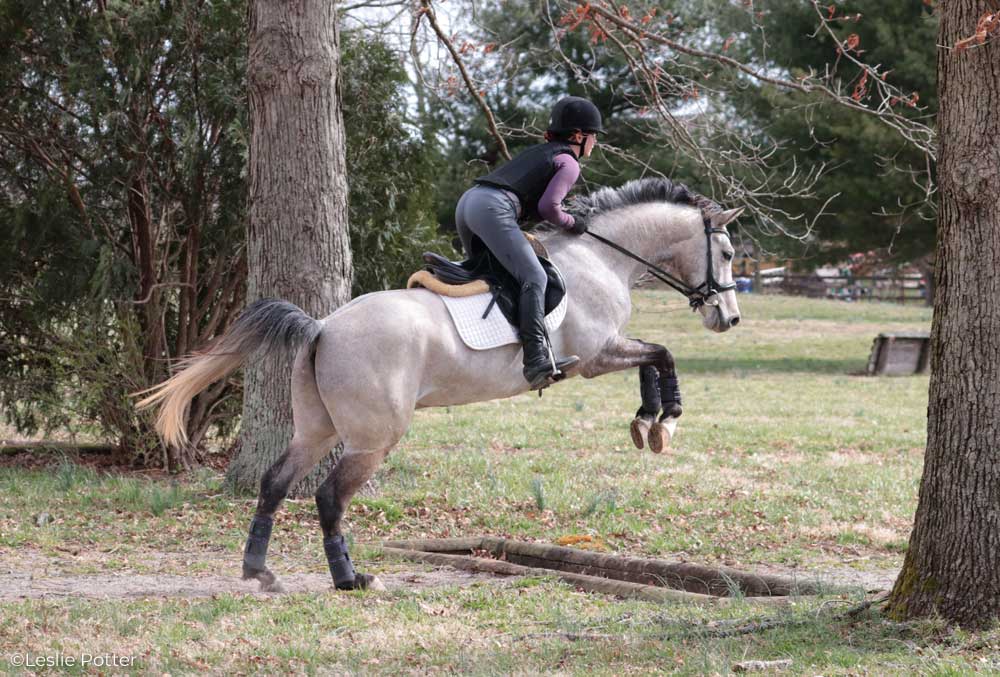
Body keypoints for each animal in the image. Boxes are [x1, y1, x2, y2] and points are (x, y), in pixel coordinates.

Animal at [135, 178, 744, 592]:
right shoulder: (597, 355)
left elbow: (654, 357)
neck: (601, 256)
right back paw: (350, 579)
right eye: (728, 252)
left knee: (276, 483)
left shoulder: (605, 352)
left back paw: (260, 572)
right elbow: (660, 354)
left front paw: (650, 424)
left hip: (317, 428)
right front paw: (660, 420)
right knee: (330, 496)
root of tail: (323, 326)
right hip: (372, 438)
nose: (729, 320)